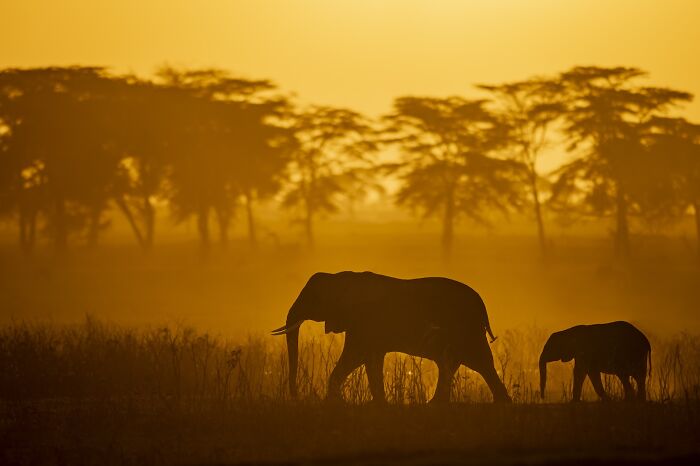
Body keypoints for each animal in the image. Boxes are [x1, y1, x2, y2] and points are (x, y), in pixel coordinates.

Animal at [271, 271, 511, 403]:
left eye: (311, 298)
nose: (296, 396)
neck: (341, 277)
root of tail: (481, 305)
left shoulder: (363, 322)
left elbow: (356, 356)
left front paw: (336, 403)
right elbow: (370, 360)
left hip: (466, 330)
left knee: (478, 363)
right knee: (453, 364)